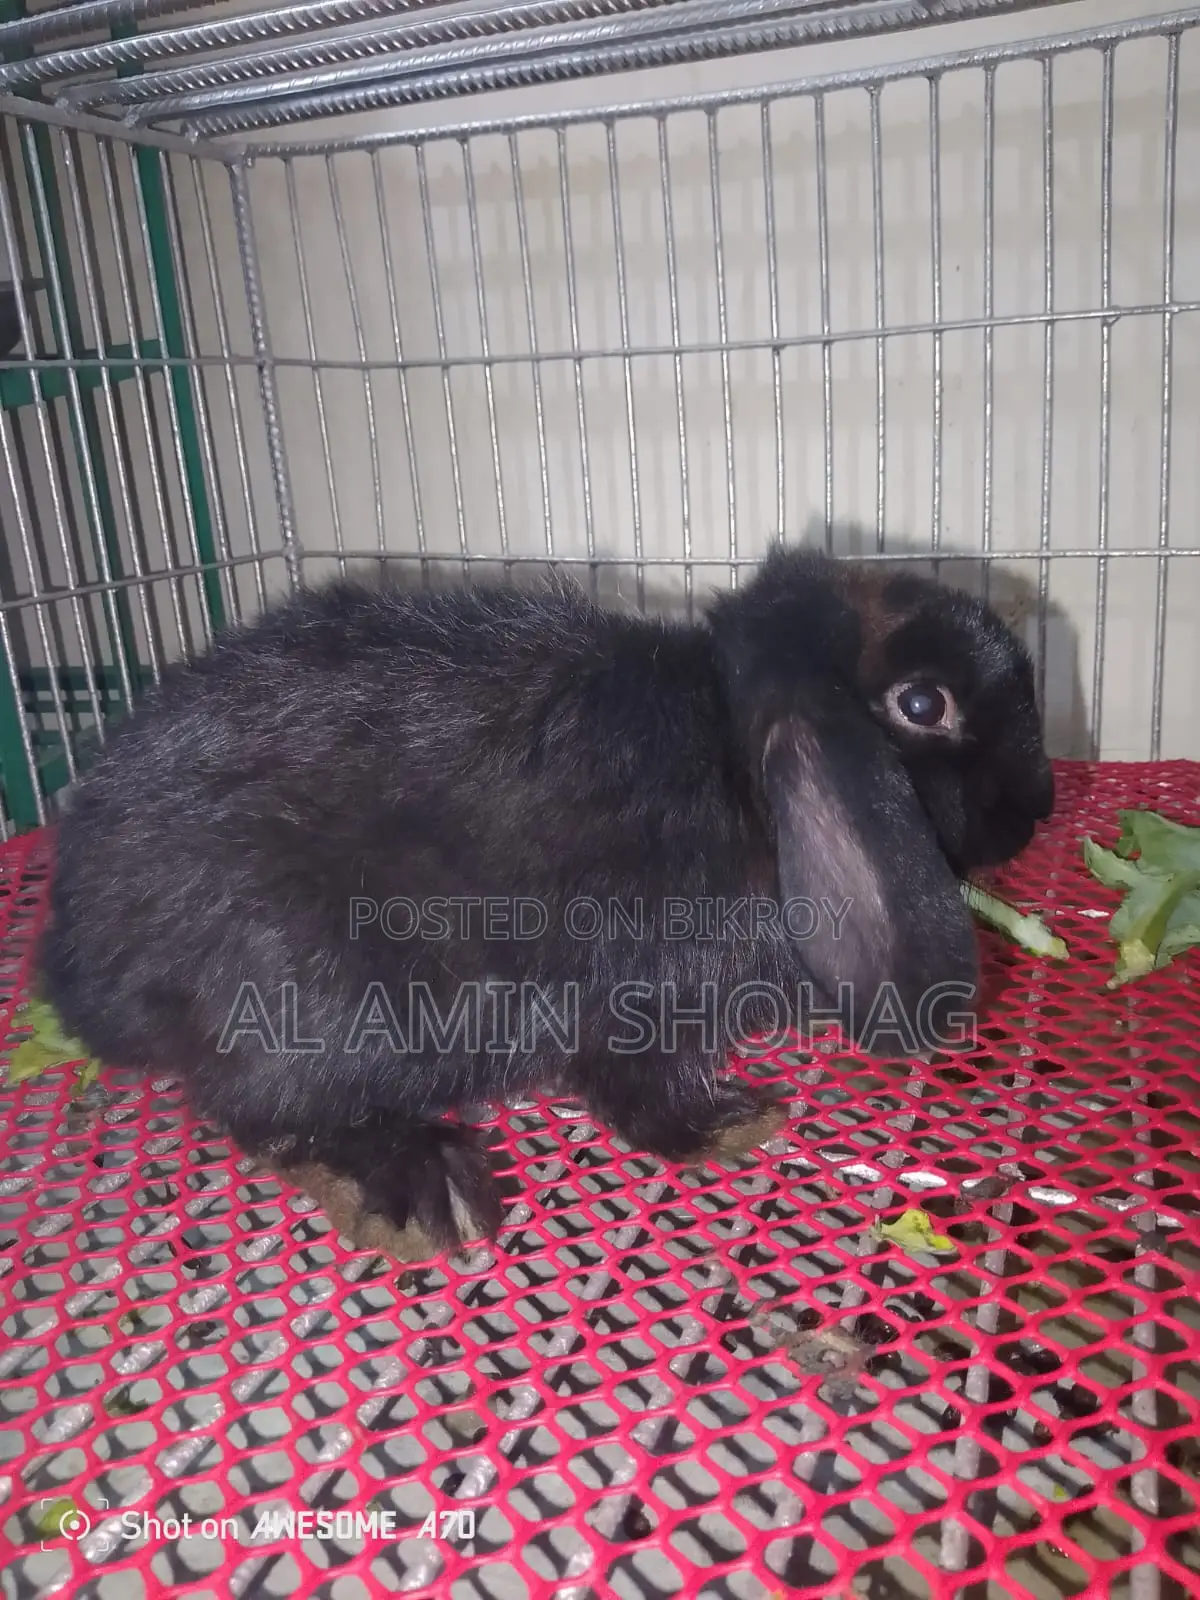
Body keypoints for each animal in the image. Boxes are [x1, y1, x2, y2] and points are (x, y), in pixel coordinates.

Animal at [36, 544, 1054, 1259]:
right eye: (921, 704)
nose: (1038, 806)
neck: (734, 762)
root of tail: (89, 961)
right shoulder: (635, 998)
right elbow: (642, 1084)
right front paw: (730, 1124)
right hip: (317, 990)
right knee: (266, 1109)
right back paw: (426, 1186)